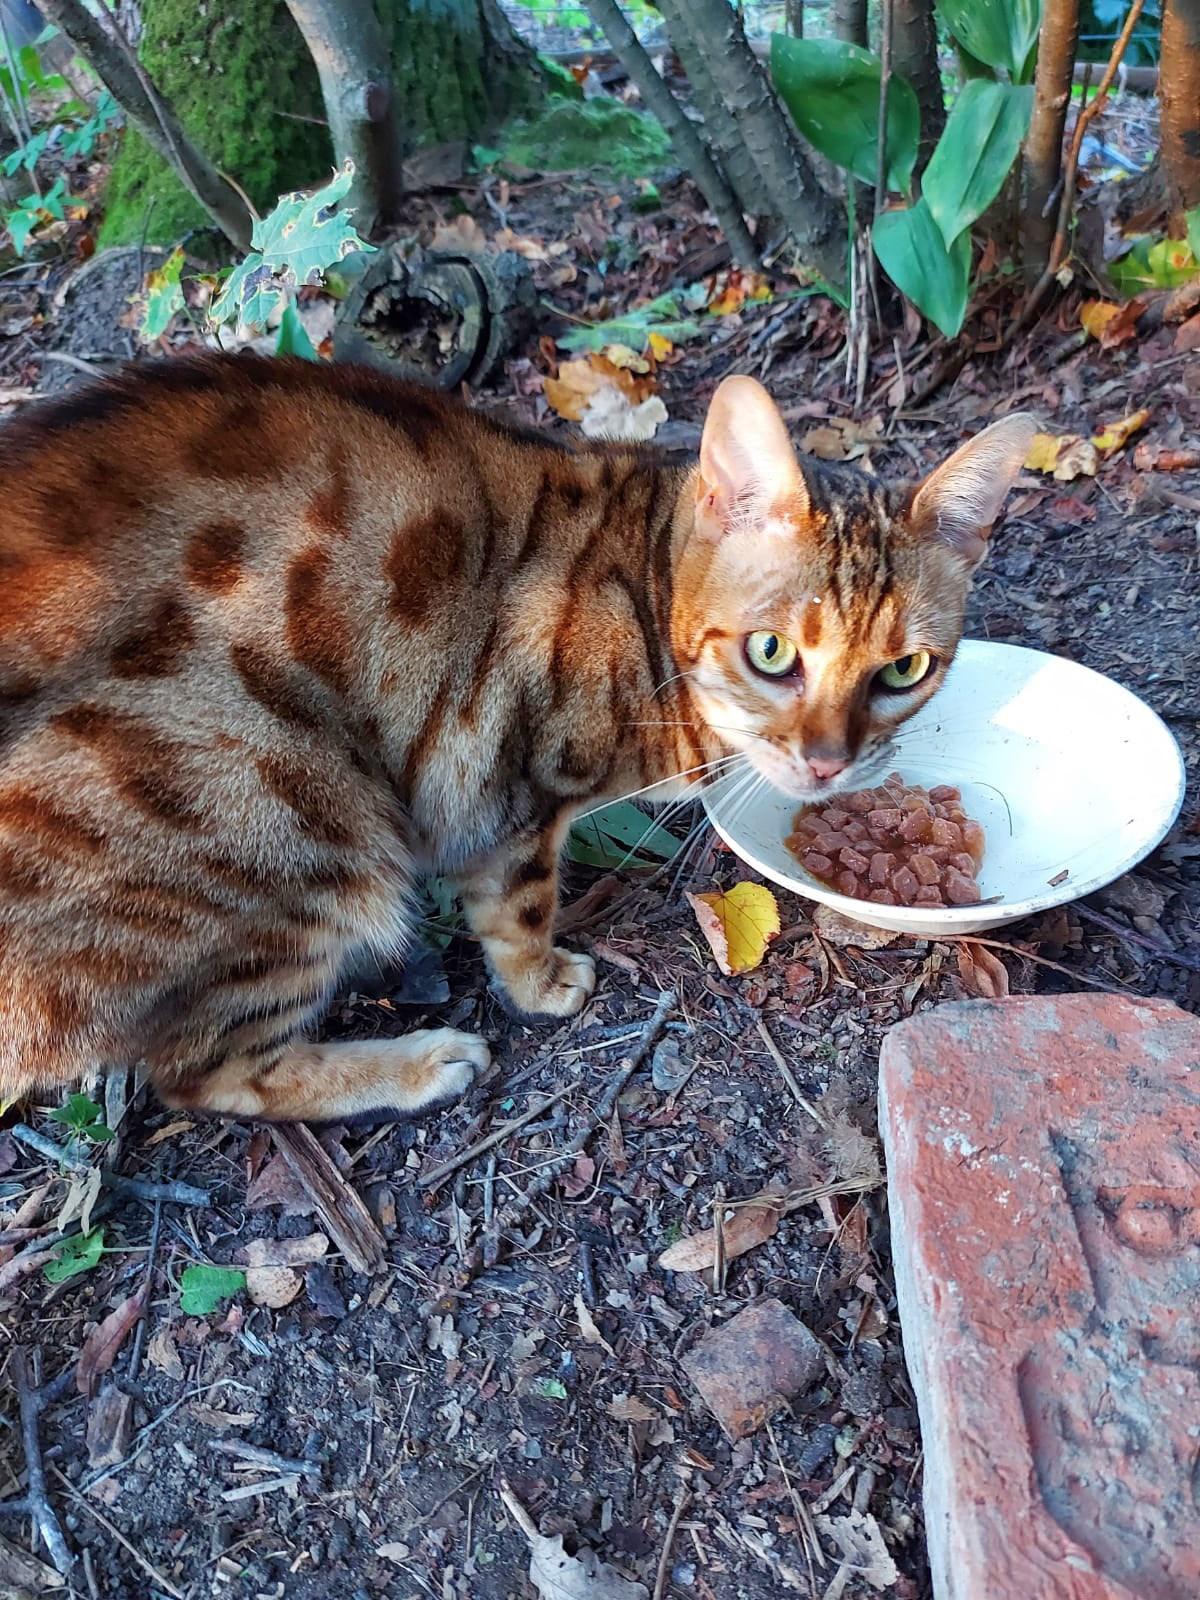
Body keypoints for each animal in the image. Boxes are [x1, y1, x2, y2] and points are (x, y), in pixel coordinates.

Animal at [0, 356, 1036, 1120]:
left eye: (905, 670)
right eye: (773, 652)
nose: (827, 762)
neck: (642, 590)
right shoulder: (508, 782)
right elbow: (519, 903)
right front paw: (543, 983)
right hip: (297, 819)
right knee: (205, 1073)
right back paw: (418, 1064)